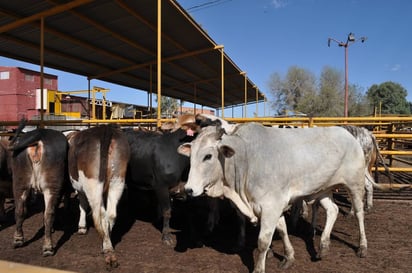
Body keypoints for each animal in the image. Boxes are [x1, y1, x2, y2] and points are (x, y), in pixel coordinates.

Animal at [8, 123, 68, 255]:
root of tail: (39, 134)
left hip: (19, 182)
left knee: (19, 211)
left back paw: (18, 240)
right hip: (52, 186)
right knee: (49, 213)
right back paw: (48, 247)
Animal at [67, 125, 130, 268]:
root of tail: (105, 128)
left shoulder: (80, 188)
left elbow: (82, 205)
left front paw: (82, 227)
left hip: (92, 182)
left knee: (99, 214)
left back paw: (107, 250)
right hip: (117, 179)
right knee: (111, 214)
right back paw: (108, 243)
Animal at [179, 122, 368, 272]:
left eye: (208, 156)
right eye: (191, 155)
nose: (189, 189)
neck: (246, 159)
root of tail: (348, 134)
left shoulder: (271, 205)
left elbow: (263, 241)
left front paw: (259, 268)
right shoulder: (273, 206)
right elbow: (282, 230)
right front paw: (289, 257)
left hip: (355, 184)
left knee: (359, 213)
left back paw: (362, 246)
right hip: (324, 189)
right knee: (333, 210)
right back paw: (323, 246)